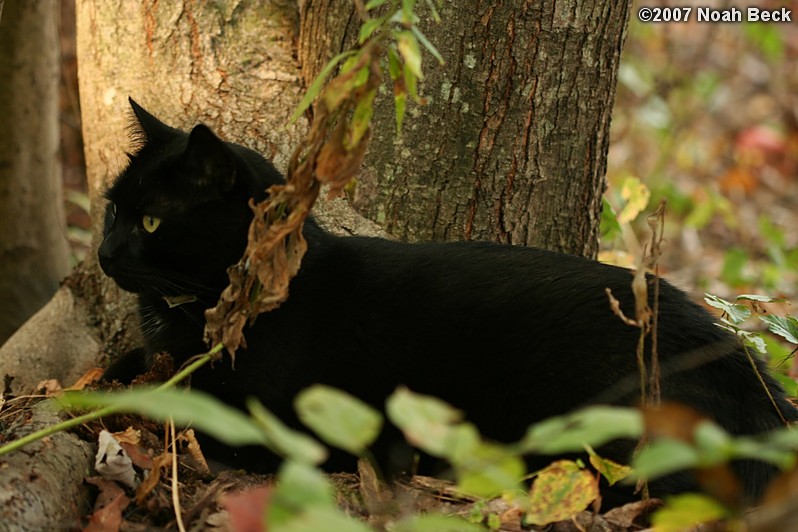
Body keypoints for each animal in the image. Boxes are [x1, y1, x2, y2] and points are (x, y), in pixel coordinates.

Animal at [101, 98, 798, 502]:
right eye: (112, 208)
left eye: (153, 222)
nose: (104, 253)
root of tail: (764, 403)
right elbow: (127, 365)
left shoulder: (278, 421)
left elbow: (179, 402)